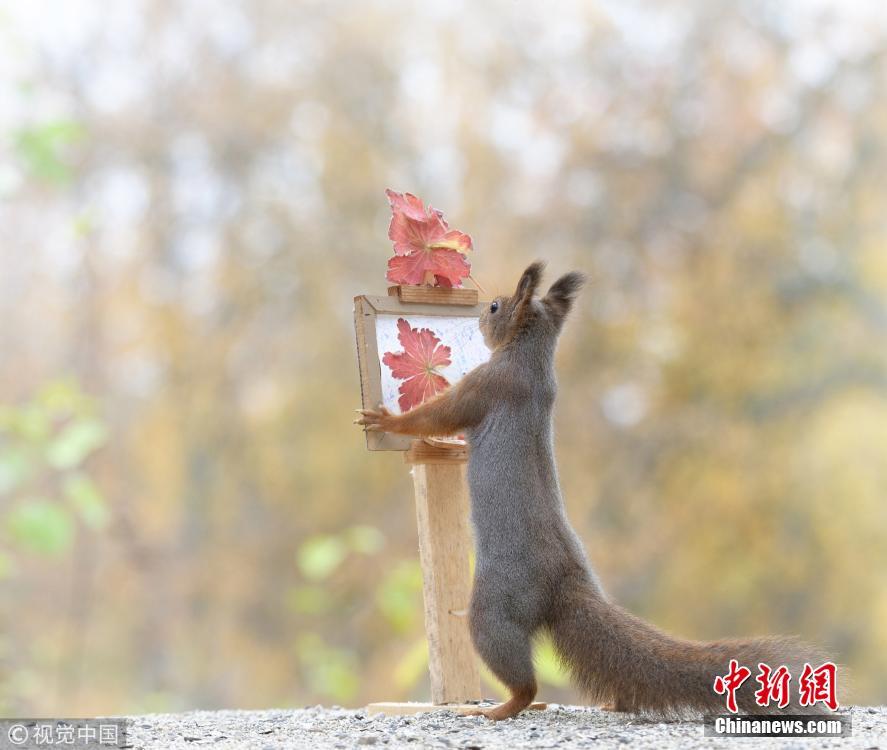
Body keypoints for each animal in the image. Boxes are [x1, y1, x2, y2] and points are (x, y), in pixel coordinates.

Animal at [354, 262, 832, 724]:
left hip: (494, 608)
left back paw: (499, 708)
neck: (531, 360)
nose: (477, 316)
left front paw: (386, 420)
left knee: (522, 681)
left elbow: (438, 415)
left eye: (493, 306)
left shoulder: (486, 385)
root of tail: (565, 580)